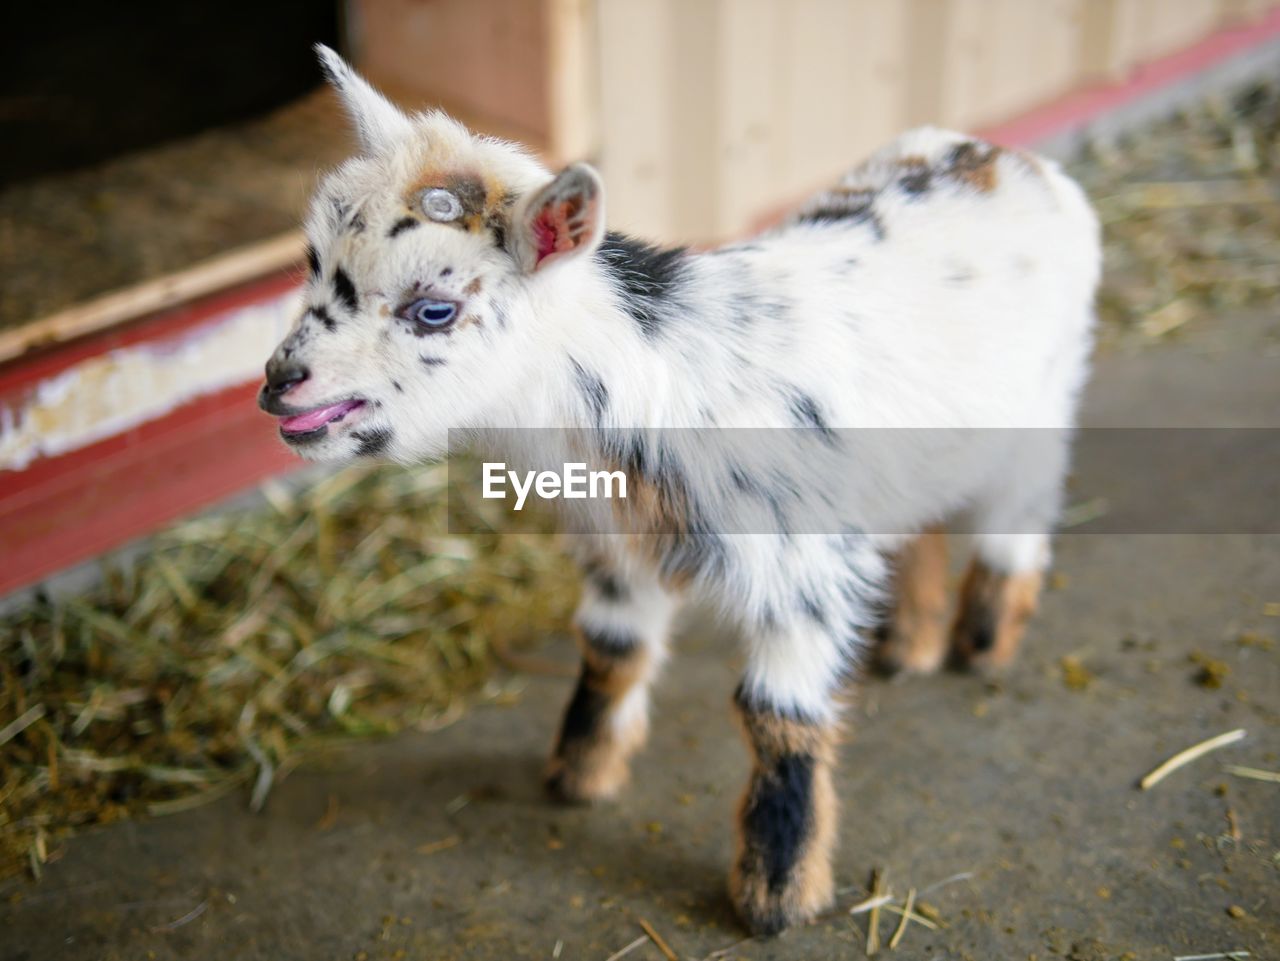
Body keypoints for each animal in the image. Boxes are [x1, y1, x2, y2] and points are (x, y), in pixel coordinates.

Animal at [259, 48, 1100, 936]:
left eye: (434, 309)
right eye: (313, 265)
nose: (279, 382)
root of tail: (1012, 158)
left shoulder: (803, 573)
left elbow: (777, 713)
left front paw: (776, 896)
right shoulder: (618, 543)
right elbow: (612, 646)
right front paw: (579, 776)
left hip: (1042, 414)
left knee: (1016, 522)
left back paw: (984, 642)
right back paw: (909, 645)